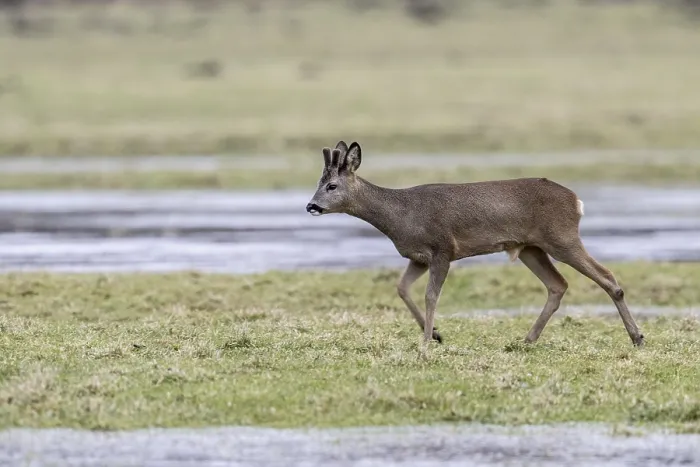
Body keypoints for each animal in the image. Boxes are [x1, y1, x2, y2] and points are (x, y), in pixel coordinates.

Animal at [305, 141, 645, 348]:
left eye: (331, 185)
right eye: (318, 183)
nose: (311, 206)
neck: (400, 216)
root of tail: (576, 201)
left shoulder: (443, 248)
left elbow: (431, 296)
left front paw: (426, 342)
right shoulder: (418, 256)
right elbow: (402, 288)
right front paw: (436, 335)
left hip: (561, 237)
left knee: (607, 277)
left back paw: (637, 336)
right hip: (531, 248)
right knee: (558, 285)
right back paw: (526, 340)